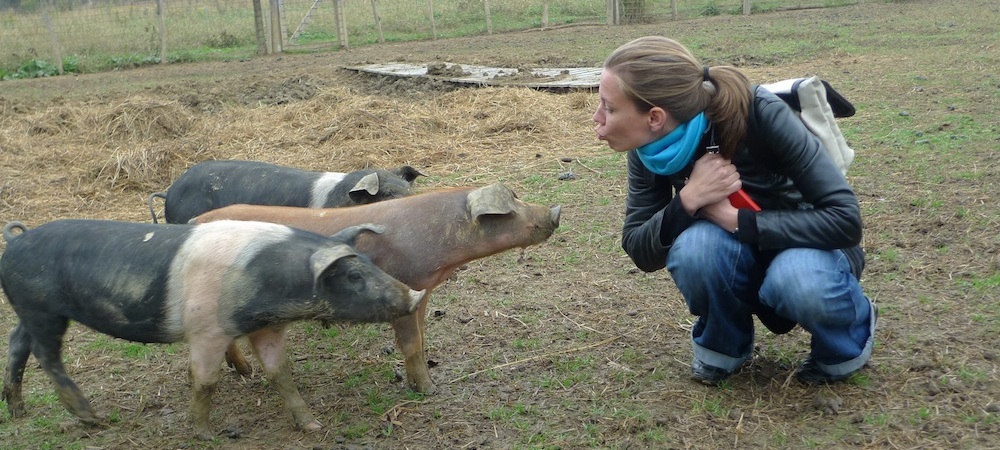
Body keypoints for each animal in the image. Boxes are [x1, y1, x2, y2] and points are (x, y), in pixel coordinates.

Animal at [0, 219, 422, 440]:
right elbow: (206, 380)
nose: (415, 295)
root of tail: (15, 241)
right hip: (41, 308)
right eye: (353, 276)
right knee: (46, 356)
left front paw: (313, 425)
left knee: (16, 344)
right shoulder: (207, 330)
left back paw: (18, 412)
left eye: (369, 262)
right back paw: (93, 418)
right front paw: (205, 434)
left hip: (27, 311)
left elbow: (281, 375)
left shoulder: (267, 328)